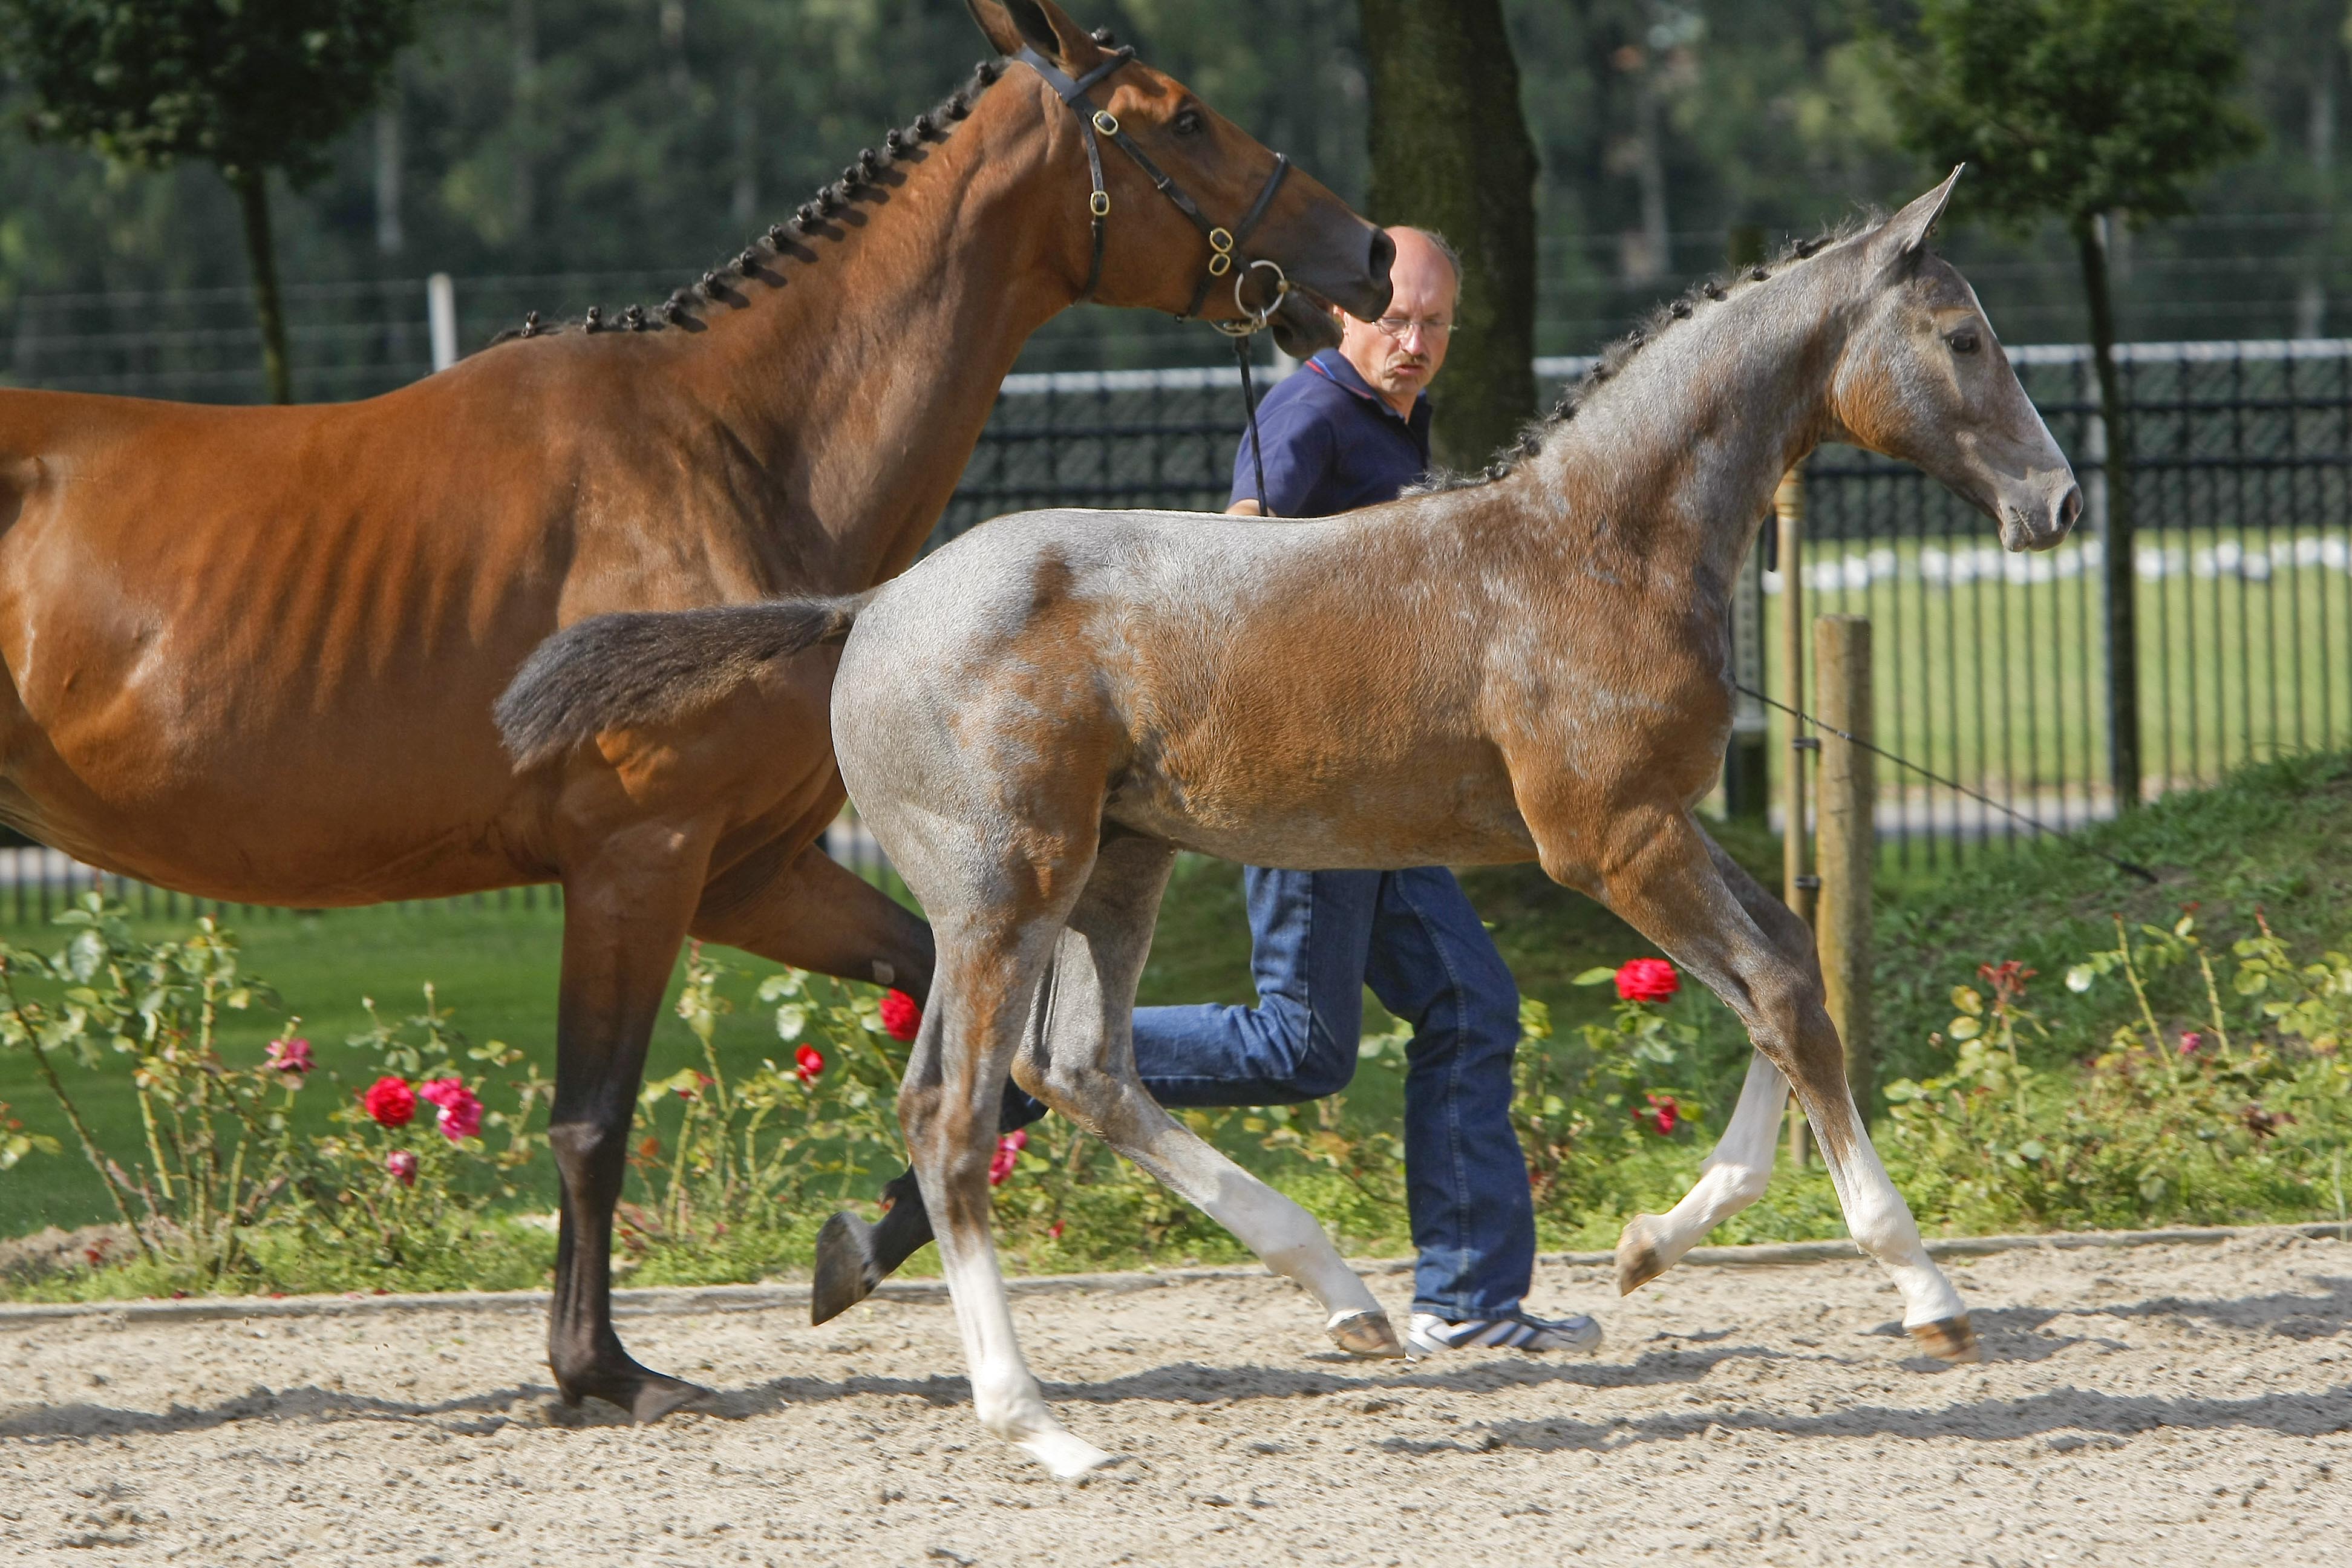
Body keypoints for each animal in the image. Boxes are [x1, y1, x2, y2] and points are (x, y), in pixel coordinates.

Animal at [0, 0, 1392, 1420]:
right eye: (1184, 117)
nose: (1372, 254)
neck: (731, 448)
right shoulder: (640, 859)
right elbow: (592, 1121)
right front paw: (600, 1369)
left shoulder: (750, 873)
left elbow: (984, 1075)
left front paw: (845, 1257)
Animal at [501, 171, 2079, 1476]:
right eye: (1963, 339)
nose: (2056, 502)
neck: (1596, 545)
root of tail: (870, 607)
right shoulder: (1613, 839)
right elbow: (1777, 994)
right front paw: (1924, 1289)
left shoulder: (1656, 831)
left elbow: (1784, 977)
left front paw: (1644, 1249)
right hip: (999, 891)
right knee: (956, 1106)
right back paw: (1038, 1422)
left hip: (1118, 870)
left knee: (1083, 1069)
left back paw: (1340, 1295)